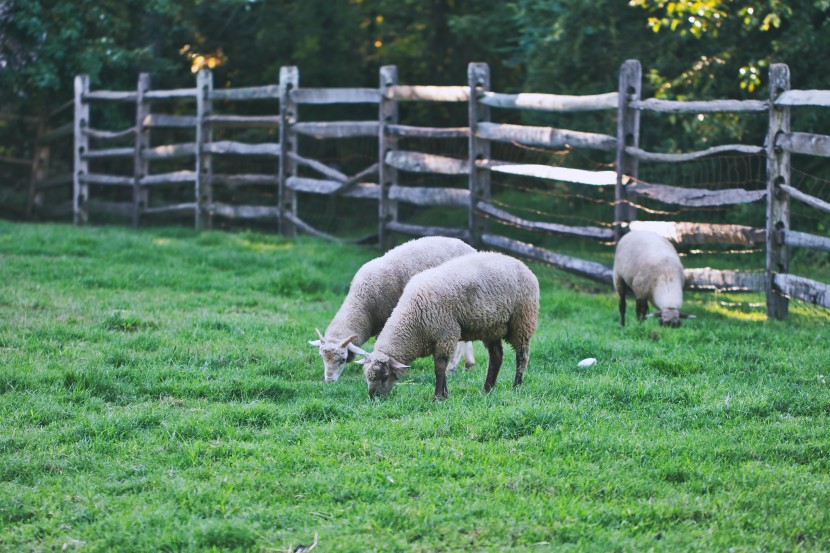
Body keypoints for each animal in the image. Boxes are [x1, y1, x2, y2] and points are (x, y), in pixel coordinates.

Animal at [310, 235, 480, 382]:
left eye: (343, 359)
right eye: (322, 357)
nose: (329, 381)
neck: (363, 306)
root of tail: (471, 248)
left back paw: (453, 367)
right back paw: (468, 365)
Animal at [352, 252, 544, 398]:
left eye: (384, 376)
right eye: (367, 376)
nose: (373, 397)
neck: (413, 320)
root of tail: (521, 264)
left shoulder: (446, 333)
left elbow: (439, 368)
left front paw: (438, 396)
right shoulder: (437, 338)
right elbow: (440, 367)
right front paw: (444, 394)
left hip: (522, 320)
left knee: (522, 356)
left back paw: (516, 387)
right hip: (492, 326)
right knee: (496, 357)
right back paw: (487, 389)